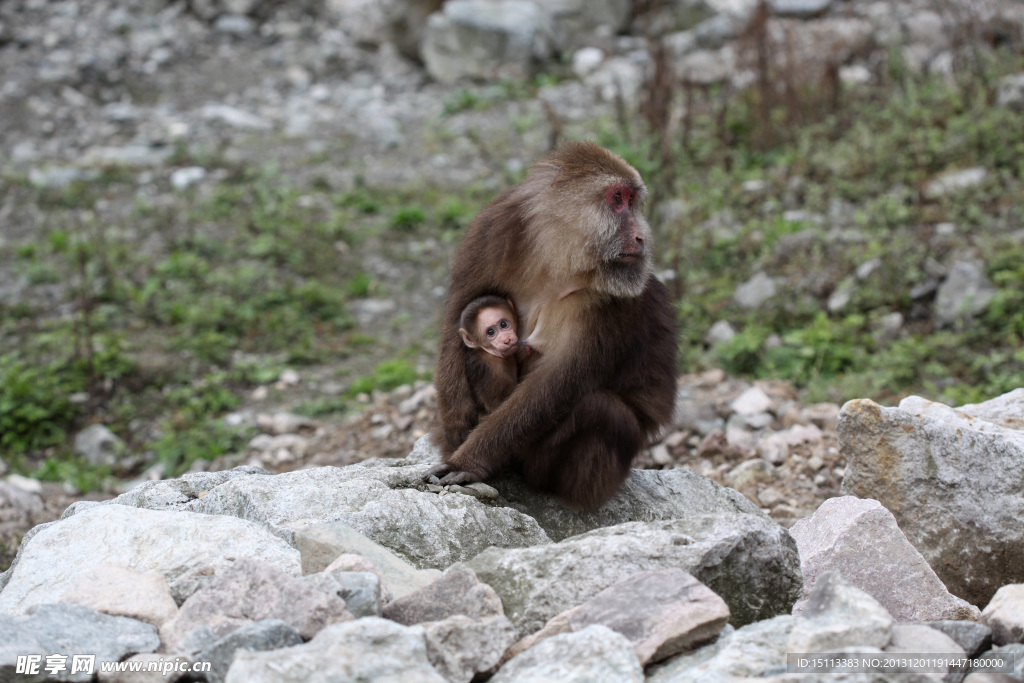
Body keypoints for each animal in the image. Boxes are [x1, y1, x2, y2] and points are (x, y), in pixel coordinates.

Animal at [428, 141, 675, 509]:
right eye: (617, 199)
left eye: (632, 201)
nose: (640, 237)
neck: (560, 255)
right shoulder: (492, 228)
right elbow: (456, 321)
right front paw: (457, 433)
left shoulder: (617, 301)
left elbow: (558, 382)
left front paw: (468, 461)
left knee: (602, 410)